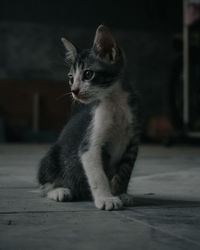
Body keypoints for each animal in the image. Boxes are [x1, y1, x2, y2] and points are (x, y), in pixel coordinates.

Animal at [37, 24, 141, 211]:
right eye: (71, 78)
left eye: (88, 74)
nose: (74, 90)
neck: (115, 103)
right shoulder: (90, 145)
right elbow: (98, 174)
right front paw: (106, 198)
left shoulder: (133, 143)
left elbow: (125, 172)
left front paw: (121, 193)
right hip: (50, 157)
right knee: (44, 185)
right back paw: (59, 190)